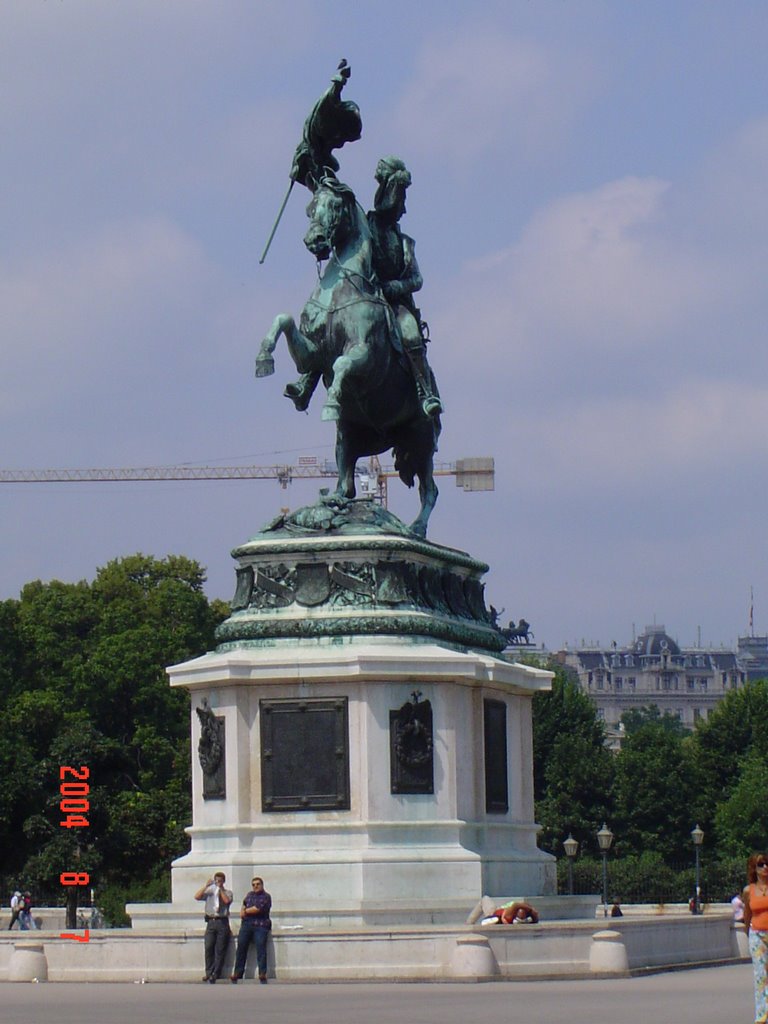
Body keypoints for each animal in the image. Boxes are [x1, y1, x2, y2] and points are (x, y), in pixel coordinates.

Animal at [257, 180, 442, 540]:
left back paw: (414, 529)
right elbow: (283, 320)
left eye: (335, 206)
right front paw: (265, 359)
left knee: (430, 489)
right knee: (347, 484)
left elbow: (342, 364)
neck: (344, 286)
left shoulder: (366, 354)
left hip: (422, 437)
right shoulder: (312, 355)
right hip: (350, 435)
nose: (314, 240)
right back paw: (333, 507)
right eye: (310, 207)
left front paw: (330, 401)